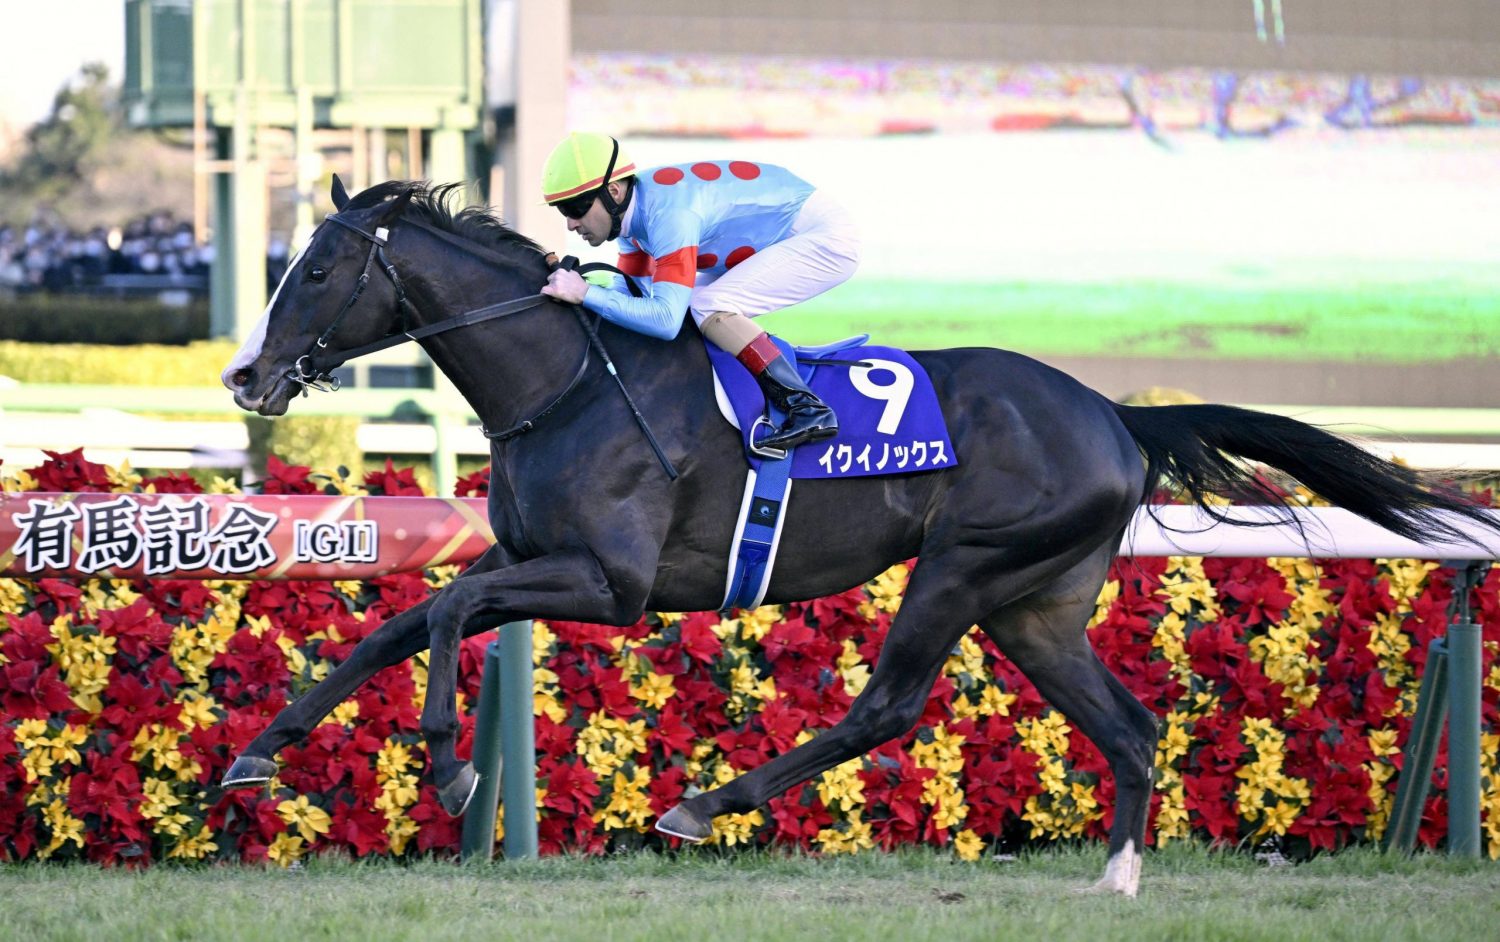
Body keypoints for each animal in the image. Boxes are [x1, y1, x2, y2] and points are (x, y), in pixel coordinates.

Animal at [219, 180, 1488, 894]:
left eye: (317, 267)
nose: (244, 377)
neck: (568, 378)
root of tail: (1112, 413)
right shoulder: (522, 556)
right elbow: (394, 627)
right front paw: (255, 754)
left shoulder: (608, 582)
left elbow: (441, 612)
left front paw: (447, 762)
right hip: (1034, 604)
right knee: (1130, 726)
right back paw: (1119, 877)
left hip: (963, 568)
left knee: (888, 705)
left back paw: (701, 805)